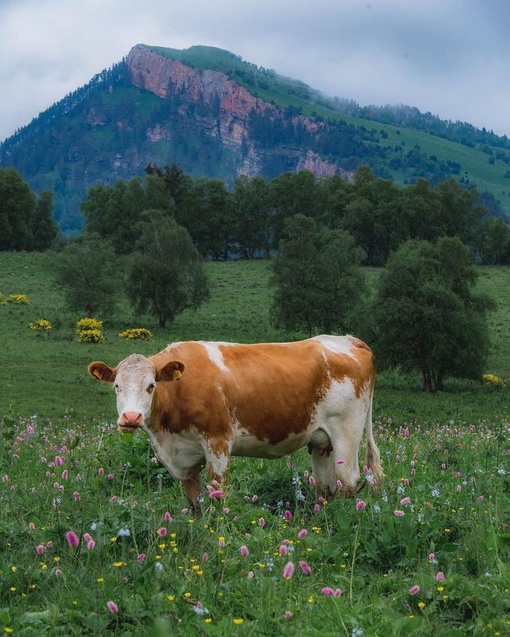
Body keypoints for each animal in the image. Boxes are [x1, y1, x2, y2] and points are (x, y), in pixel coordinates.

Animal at [87, 332, 382, 512]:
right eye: (116, 386)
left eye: (151, 386)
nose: (131, 417)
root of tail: (349, 339)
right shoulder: (181, 458)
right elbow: (194, 502)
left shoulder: (218, 441)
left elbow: (218, 495)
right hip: (321, 441)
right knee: (325, 487)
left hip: (347, 432)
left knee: (348, 482)